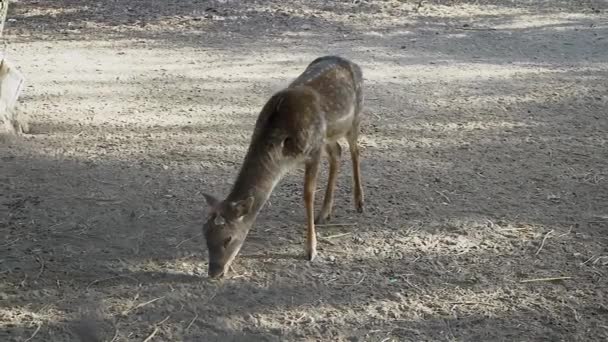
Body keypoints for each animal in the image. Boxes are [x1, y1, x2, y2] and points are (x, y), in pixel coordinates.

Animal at [202, 55, 364, 278]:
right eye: (205, 235)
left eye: (228, 238)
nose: (213, 272)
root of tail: (351, 62)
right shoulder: (318, 144)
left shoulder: (313, 150)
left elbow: (307, 195)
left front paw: (311, 250)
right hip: (329, 134)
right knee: (338, 153)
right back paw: (325, 213)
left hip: (354, 118)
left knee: (356, 151)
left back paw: (359, 202)